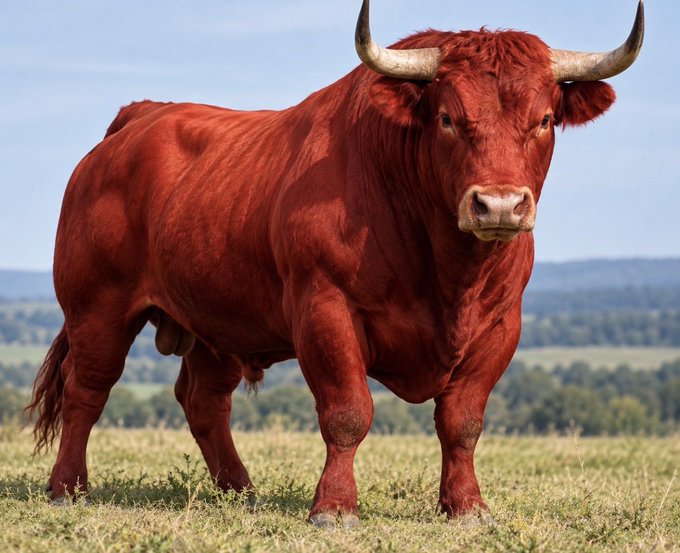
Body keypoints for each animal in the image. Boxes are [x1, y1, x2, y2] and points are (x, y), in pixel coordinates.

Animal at [29, 0, 644, 527]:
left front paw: (467, 507)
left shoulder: (500, 327)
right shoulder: (325, 309)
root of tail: (139, 119)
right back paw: (68, 488)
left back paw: (240, 492)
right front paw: (334, 508)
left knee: (203, 401)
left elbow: (462, 422)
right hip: (97, 308)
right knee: (87, 389)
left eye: (545, 119)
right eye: (447, 118)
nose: (498, 205)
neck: (447, 271)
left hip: (216, 319)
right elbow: (348, 412)